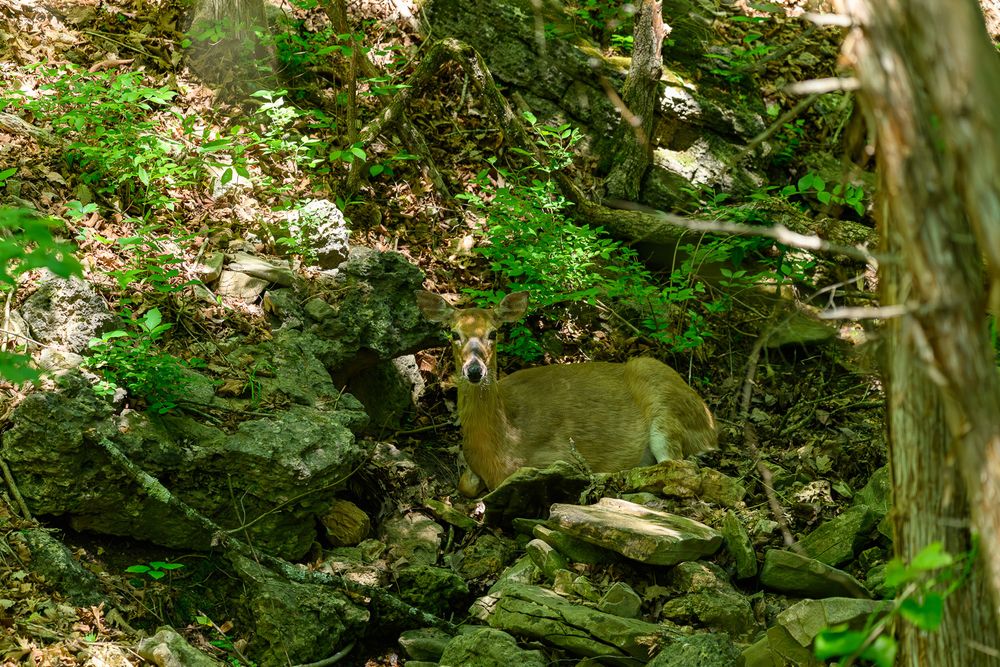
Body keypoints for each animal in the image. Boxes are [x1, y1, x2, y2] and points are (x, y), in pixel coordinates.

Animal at [416, 290, 717, 497]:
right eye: (454, 334)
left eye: (493, 333)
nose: (475, 370)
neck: (500, 444)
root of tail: (713, 424)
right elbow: (465, 484)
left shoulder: (557, 459)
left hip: (666, 411)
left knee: (677, 466)